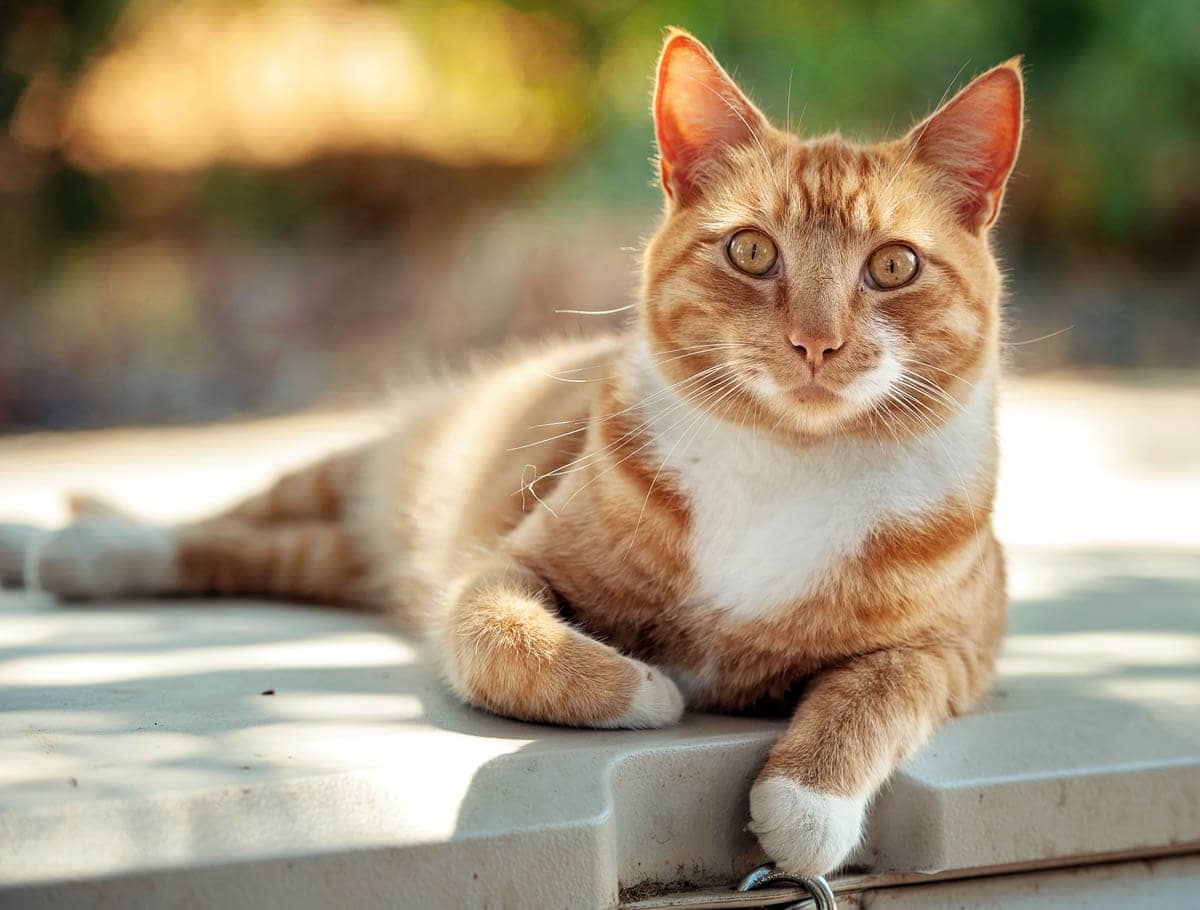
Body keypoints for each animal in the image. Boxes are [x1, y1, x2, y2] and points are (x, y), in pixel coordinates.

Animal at [4, 32, 1027, 878]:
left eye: (893, 266)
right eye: (750, 252)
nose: (816, 343)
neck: (786, 466)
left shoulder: (956, 649)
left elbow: (875, 693)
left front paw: (805, 803)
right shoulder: (503, 567)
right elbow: (509, 639)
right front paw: (643, 688)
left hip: (344, 556)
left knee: (265, 550)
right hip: (368, 477)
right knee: (223, 522)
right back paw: (72, 549)